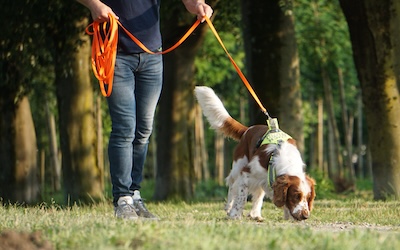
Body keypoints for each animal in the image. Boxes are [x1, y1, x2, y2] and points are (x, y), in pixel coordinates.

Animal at [195, 86, 316, 221]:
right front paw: (235, 214)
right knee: (232, 185)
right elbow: (241, 198)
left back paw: (256, 214)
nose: (305, 216)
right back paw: (229, 207)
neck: (288, 161)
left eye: (308, 197)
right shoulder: (246, 174)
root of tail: (248, 129)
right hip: (238, 165)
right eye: (296, 195)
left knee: (258, 194)